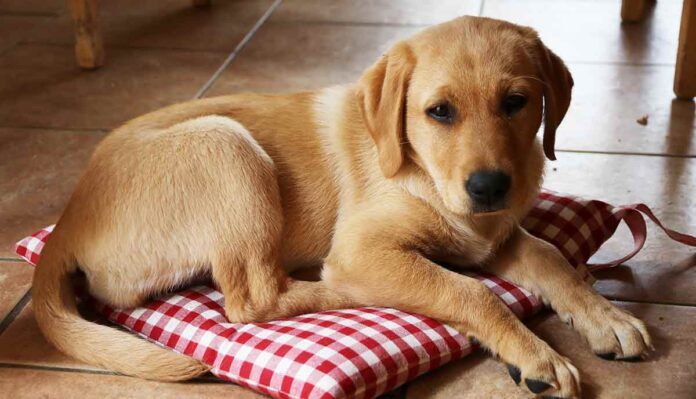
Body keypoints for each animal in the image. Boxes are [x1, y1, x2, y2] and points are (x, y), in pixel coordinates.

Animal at [34, 16, 652, 399]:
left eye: (517, 103)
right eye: (440, 112)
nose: (488, 188)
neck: (420, 171)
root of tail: (69, 220)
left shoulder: (491, 239)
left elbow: (552, 259)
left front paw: (607, 317)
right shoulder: (365, 248)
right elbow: (471, 292)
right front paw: (536, 355)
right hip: (227, 145)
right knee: (252, 299)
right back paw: (342, 294)